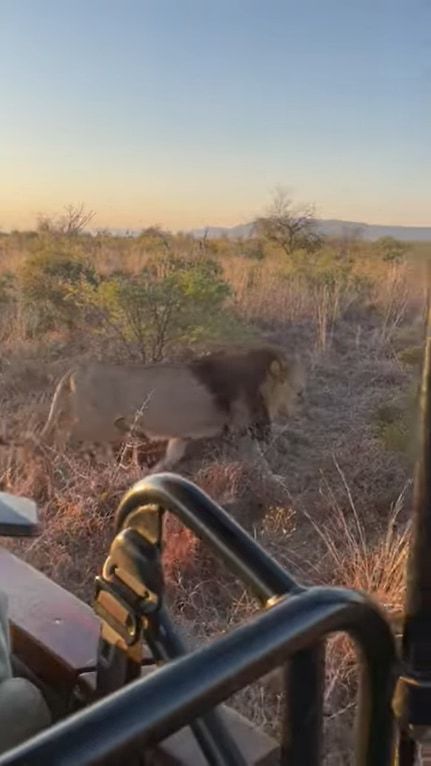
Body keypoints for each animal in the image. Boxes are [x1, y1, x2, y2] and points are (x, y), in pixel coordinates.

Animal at [38, 348, 308, 474]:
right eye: (298, 393)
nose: (299, 412)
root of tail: (77, 369)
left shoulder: (182, 436)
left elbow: (172, 456)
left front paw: (149, 475)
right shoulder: (243, 428)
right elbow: (259, 460)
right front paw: (276, 479)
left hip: (101, 424)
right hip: (95, 421)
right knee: (63, 431)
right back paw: (56, 459)